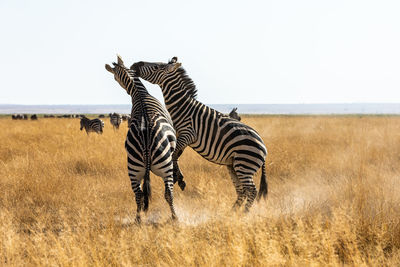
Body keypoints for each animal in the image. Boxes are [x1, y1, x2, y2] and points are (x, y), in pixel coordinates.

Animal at [104, 56, 178, 222]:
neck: (139, 93)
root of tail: (145, 140)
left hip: (134, 167)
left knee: (138, 193)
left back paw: (138, 219)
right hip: (165, 166)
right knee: (169, 193)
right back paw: (174, 217)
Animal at [131, 57, 268, 213]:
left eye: (156, 67)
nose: (135, 64)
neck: (183, 108)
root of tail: (263, 147)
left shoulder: (188, 134)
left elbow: (174, 155)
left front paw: (178, 178)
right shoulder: (181, 136)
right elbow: (176, 155)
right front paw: (179, 177)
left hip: (245, 164)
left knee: (252, 190)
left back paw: (244, 213)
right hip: (234, 165)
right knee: (242, 190)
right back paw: (232, 213)